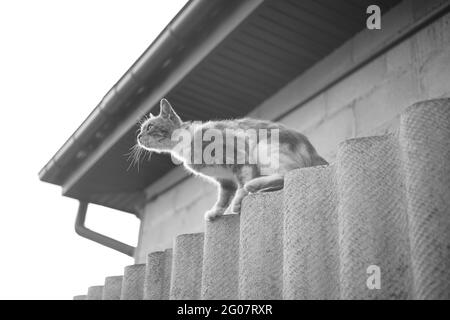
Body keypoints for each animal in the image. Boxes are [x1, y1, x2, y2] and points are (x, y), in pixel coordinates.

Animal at [135, 99, 328, 221]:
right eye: (141, 129)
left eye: (149, 127)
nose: (138, 136)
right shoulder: (224, 179)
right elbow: (223, 197)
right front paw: (215, 212)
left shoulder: (239, 155)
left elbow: (241, 184)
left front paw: (238, 200)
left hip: (265, 149)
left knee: (285, 174)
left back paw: (255, 185)